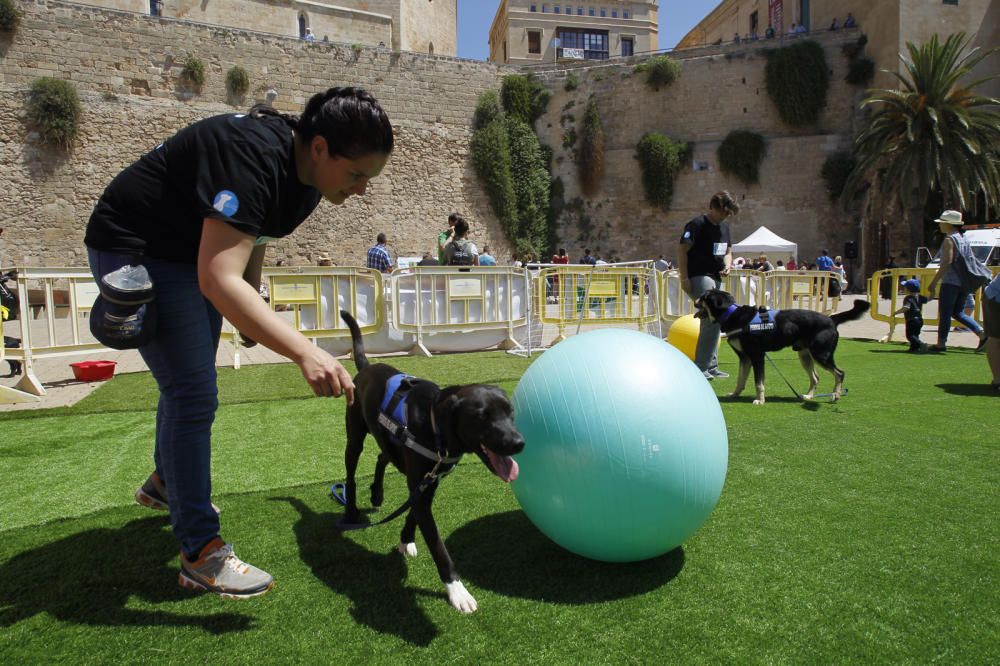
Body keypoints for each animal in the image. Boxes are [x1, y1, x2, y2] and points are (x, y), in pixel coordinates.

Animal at [338, 312, 528, 612]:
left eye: (510, 412)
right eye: (482, 417)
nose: (518, 443)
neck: (435, 424)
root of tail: (367, 366)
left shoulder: (429, 482)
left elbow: (413, 514)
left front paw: (406, 540)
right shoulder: (421, 483)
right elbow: (438, 545)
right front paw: (457, 590)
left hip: (388, 441)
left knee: (382, 456)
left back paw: (377, 494)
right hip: (355, 436)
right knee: (351, 474)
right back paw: (351, 512)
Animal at [696, 288, 868, 402]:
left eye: (703, 297)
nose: (695, 300)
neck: (732, 314)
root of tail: (832, 319)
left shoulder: (757, 356)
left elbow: (758, 382)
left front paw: (760, 400)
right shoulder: (745, 357)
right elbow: (740, 379)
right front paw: (734, 394)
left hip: (821, 354)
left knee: (839, 373)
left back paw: (836, 395)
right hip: (805, 356)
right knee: (816, 377)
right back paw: (808, 396)